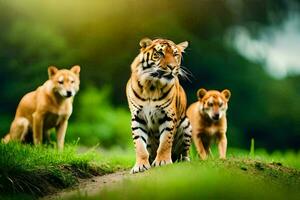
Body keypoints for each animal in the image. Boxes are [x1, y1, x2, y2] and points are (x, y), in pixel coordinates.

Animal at [125, 37, 191, 173]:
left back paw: (183, 160)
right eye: (160, 53)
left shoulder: (168, 116)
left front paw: (163, 162)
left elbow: (165, 142)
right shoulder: (137, 118)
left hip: (186, 124)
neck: (151, 85)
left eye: (175, 54)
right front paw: (140, 166)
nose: (172, 67)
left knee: (184, 153)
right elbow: (139, 144)